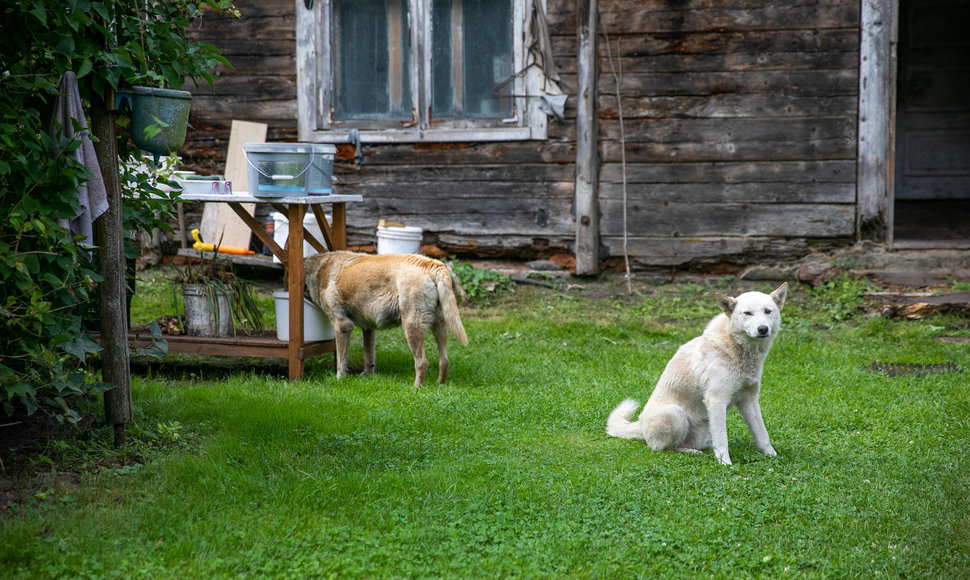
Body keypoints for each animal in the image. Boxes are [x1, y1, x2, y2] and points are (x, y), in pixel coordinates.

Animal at [304, 253, 466, 386]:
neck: (319, 269)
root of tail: (432, 264)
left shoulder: (342, 326)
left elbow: (341, 360)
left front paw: (339, 379)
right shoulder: (368, 328)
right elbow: (368, 357)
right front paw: (367, 376)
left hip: (411, 326)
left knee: (422, 362)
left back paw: (416, 388)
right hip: (439, 325)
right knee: (444, 359)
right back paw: (440, 384)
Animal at [604, 282, 788, 466]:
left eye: (768, 311)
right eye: (748, 313)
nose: (763, 329)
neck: (736, 347)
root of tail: (640, 425)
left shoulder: (749, 400)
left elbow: (762, 434)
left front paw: (772, 456)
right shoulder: (716, 401)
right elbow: (722, 441)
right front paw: (725, 465)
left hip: (704, 431)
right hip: (675, 413)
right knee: (664, 448)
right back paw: (691, 453)